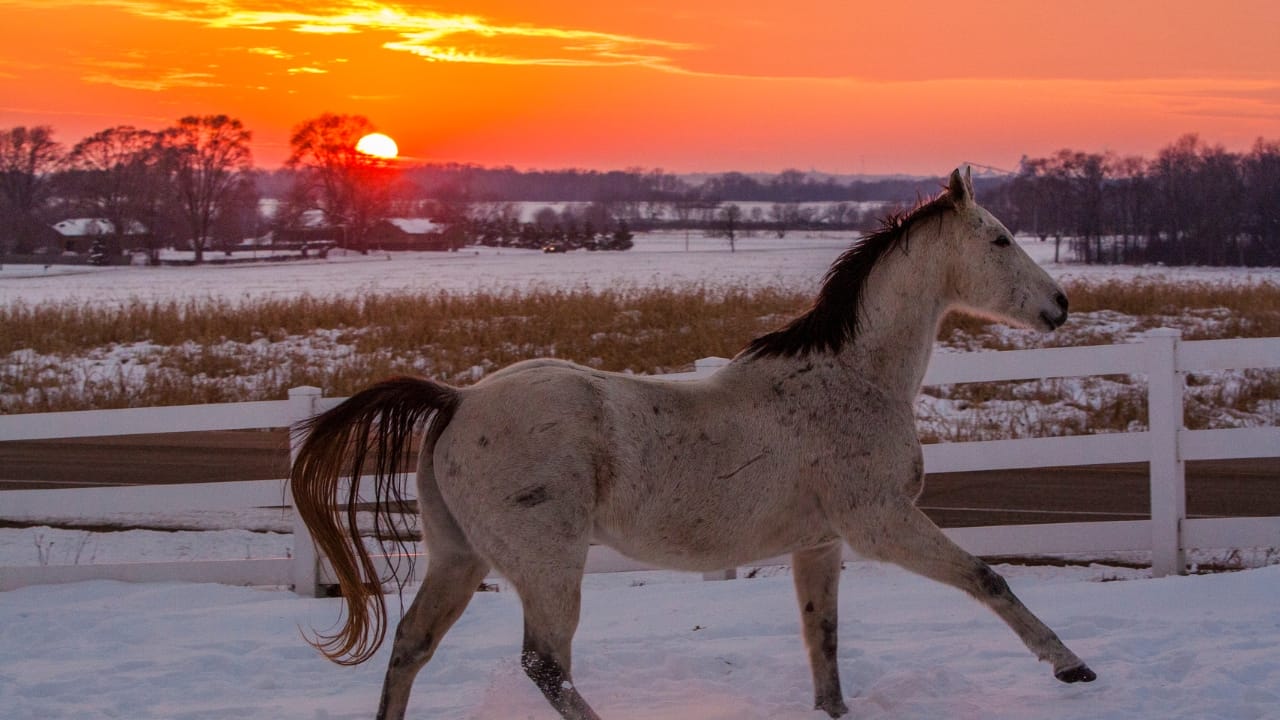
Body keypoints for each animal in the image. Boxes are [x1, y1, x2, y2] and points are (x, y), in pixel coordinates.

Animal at [293, 165, 1100, 712]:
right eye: (999, 238)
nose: (1060, 305)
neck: (854, 377)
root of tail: (457, 400)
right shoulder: (882, 523)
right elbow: (988, 579)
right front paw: (1072, 667)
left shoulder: (820, 543)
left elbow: (825, 646)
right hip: (548, 567)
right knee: (545, 665)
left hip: (458, 558)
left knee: (411, 647)